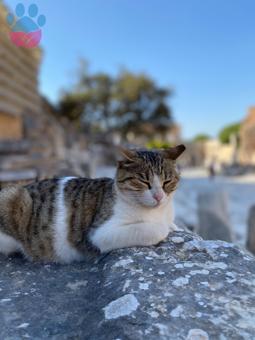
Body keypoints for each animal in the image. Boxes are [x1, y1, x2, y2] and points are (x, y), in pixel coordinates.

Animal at [0, 143, 185, 262]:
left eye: (167, 182)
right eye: (143, 182)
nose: (159, 196)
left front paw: (174, 226)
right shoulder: (99, 234)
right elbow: (155, 229)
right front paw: (165, 228)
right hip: (12, 197)